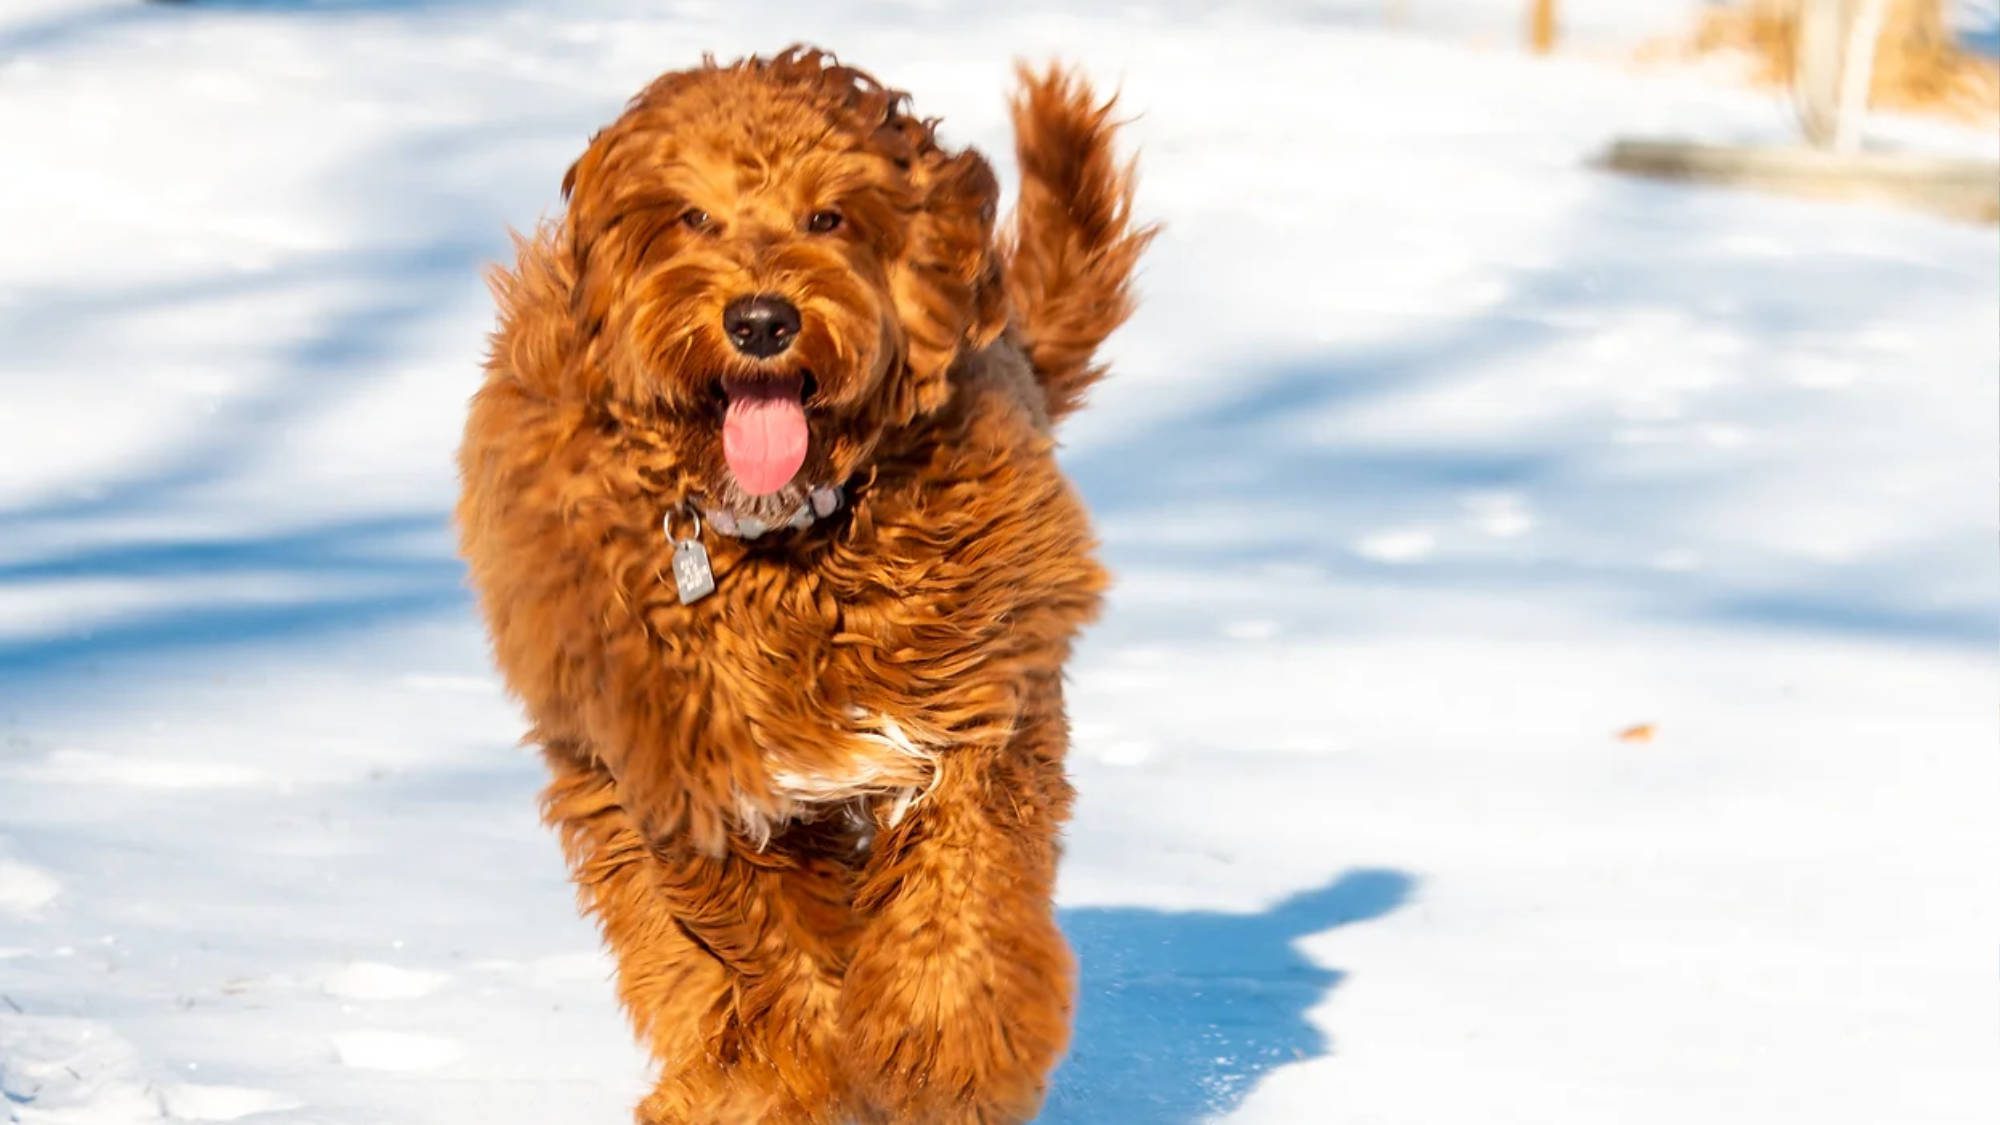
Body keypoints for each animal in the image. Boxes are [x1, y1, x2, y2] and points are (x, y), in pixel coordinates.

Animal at [452, 46, 1144, 1120]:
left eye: (829, 216)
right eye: (692, 217)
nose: (762, 320)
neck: (781, 536)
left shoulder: (973, 706)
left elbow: (962, 892)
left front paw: (939, 1048)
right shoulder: (694, 781)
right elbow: (777, 963)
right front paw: (788, 1078)